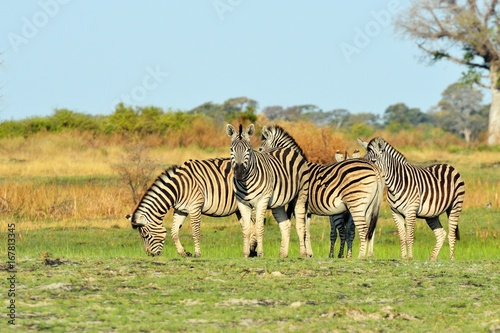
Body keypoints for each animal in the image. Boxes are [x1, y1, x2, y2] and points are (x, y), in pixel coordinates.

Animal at [226, 124, 310, 256]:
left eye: (248, 150)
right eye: (231, 149)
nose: (239, 173)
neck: (246, 182)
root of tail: (289, 150)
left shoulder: (262, 201)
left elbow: (259, 227)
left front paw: (260, 253)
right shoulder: (241, 203)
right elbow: (246, 229)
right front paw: (245, 254)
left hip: (301, 196)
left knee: (301, 225)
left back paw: (303, 253)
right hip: (278, 204)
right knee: (286, 225)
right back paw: (283, 255)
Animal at [258, 124, 382, 256]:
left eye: (260, 149)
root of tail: (374, 168)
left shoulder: (298, 205)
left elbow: (302, 229)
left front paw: (305, 253)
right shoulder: (307, 211)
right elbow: (306, 231)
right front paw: (309, 254)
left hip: (357, 202)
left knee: (363, 229)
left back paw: (361, 256)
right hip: (368, 206)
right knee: (370, 230)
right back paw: (368, 255)